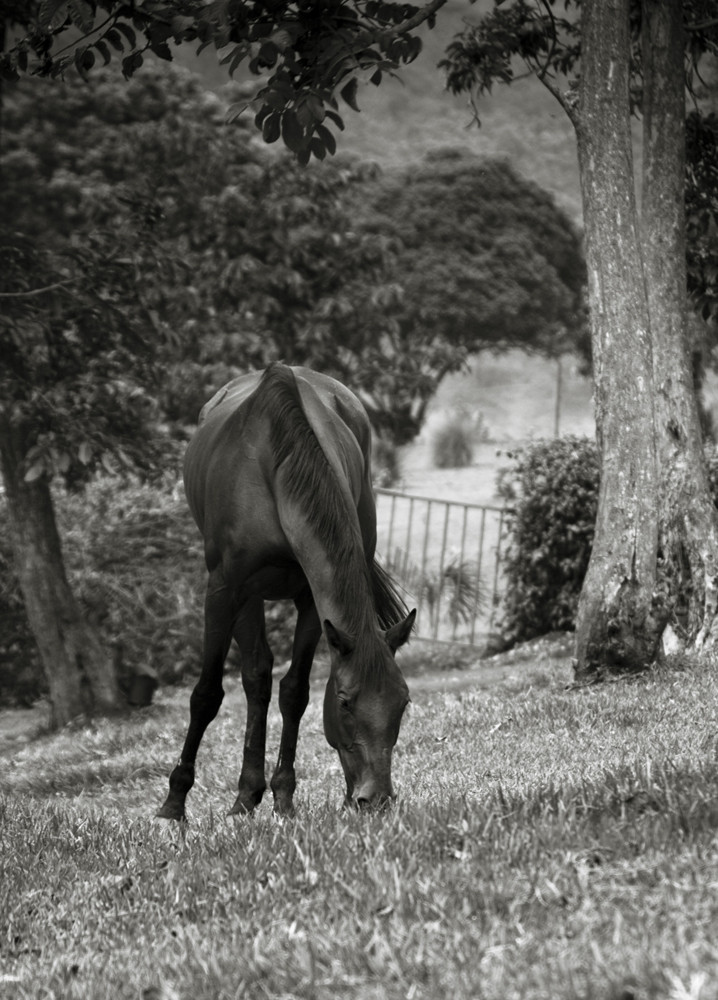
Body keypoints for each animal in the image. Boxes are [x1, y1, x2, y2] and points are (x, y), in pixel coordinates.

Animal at [159, 364, 416, 816]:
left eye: (403, 702)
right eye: (345, 701)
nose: (376, 799)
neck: (274, 469)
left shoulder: (312, 600)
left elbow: (294, 692)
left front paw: (283, 795)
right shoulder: (224, 589)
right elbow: (206, 694)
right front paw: (174, 803)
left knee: (261, 679)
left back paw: (251, 792)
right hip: (245, 597)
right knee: (254, 676)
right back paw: (242, 796)